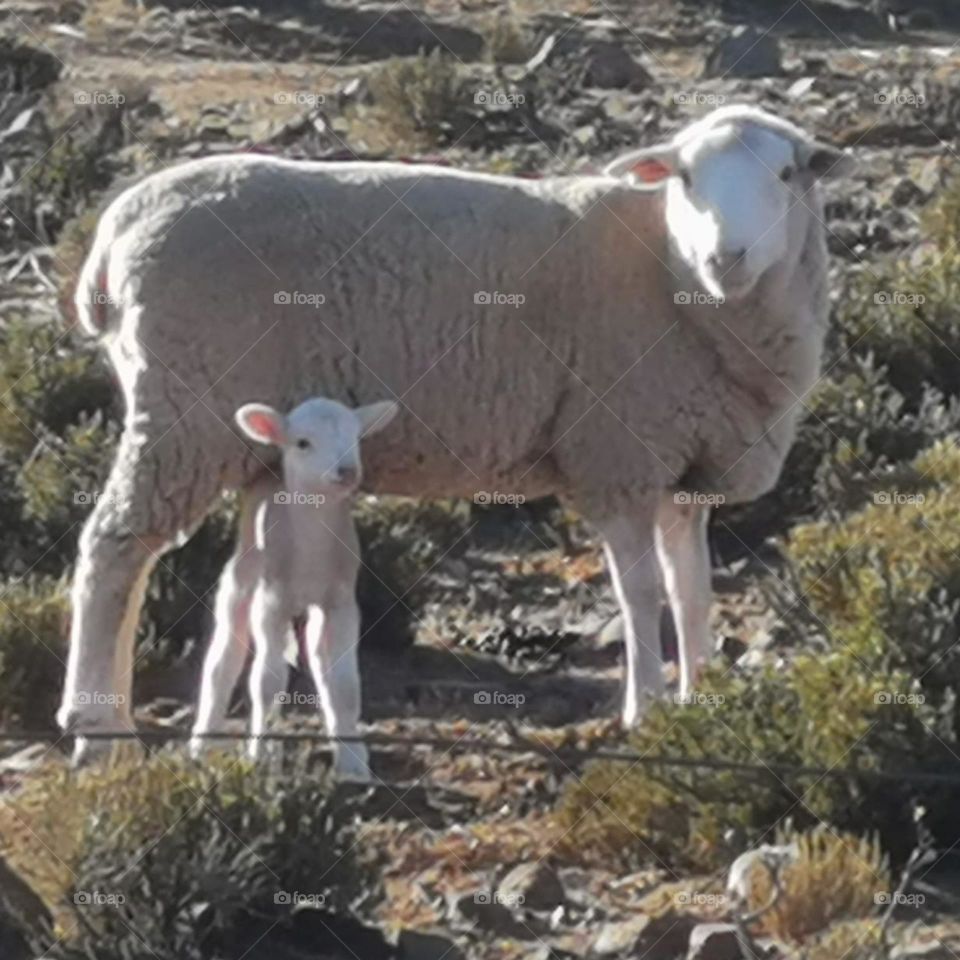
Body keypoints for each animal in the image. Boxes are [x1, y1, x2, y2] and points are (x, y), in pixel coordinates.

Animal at [189, 396, 398, 782]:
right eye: (302, 443)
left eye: (356, 437)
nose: (347, 471)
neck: (311, 552)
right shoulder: (270, 603)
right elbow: (267, 681)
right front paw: (261, 754)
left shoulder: (342, 604)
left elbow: (345, 684)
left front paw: (353, 763)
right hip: (241, 579)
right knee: (223, 660)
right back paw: (201, 742)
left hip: (317, 610)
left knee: (319, 660)